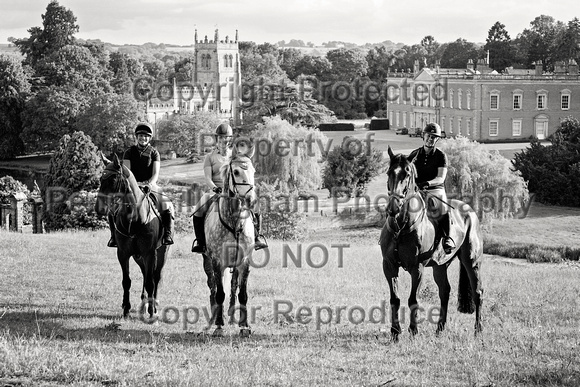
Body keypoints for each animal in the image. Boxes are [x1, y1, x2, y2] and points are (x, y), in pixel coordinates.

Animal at [95, 155, 170, 322]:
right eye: (101, 179)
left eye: (113, 179)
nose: (98, 208)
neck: (135, 218)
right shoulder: (123, 254)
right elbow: (126, 281)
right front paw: (126, 309)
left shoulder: (150, 254)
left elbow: (150, 282)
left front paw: (152, 312)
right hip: (138, 256)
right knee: (144, 273)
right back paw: (144, 301)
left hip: (161, 253)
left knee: (156, 277)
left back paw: (153, 304)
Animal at [202, 150, 256, 338]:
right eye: (237, 172)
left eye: (253, 171)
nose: (251, 200)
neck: (234, 222)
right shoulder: (217, 262)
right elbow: (219, 293)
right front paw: (219, 326)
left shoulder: (244, 262)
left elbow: (243, 293)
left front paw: (244, 326)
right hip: (207, 261)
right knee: (212, 287)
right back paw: (212, 320)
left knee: (233, 286)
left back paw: (232, 318)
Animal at [380, 147, 484, 342]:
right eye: (389, 172)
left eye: (407, 174)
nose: (393, 208)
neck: (401, 226)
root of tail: (470, 211)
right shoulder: (389, 266)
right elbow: (395, 299)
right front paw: (395, 332)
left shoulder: (417, 267)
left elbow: (413, 299)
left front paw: (413, 331)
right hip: (440, 266)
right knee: (445, 291)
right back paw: (440, 329)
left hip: (471, 261)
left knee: (478, 292)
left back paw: (478, 330)